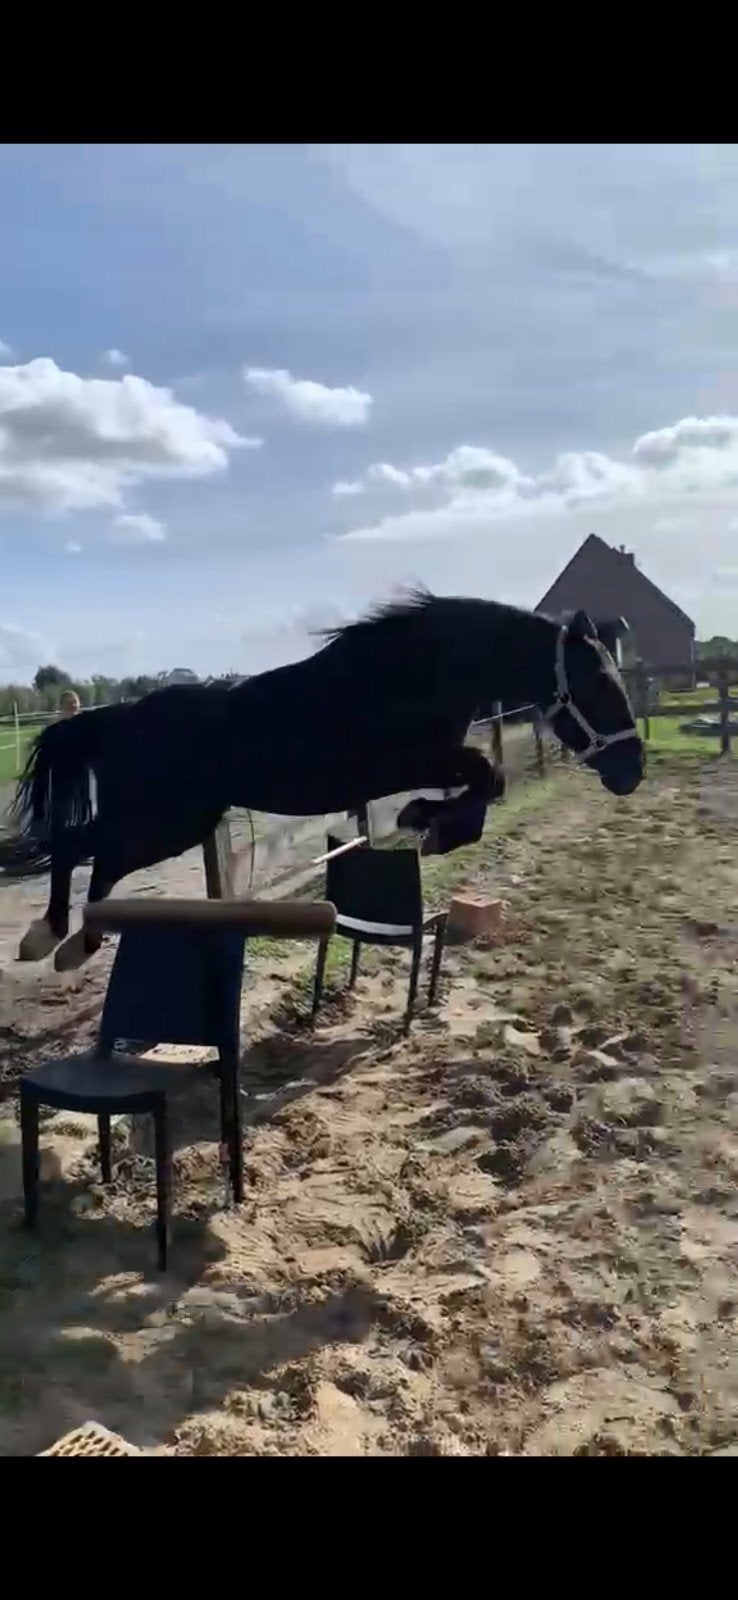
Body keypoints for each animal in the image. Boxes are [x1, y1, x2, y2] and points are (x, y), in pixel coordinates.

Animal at [0, 590, 644, 971]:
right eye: (597, 684)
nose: (632, 771)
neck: (416, 674)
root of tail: (117, 718)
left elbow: (488, 784)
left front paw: (429, 821)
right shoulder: (410, 762)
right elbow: (486, 776)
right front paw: (430, 823)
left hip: (168, 823)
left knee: (93, 858)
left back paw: (71, 943)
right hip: (164, 822)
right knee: (80, 849)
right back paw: (51, 939)